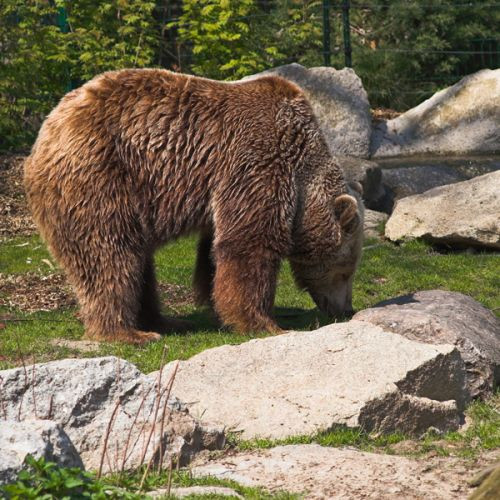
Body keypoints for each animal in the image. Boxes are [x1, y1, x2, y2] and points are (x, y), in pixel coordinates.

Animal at [24, 69, 364, 344]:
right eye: (346, 270)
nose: (345, 309)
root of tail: (46, 132)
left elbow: (215, 253)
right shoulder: (258, 160)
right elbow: (250, 243)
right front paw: (266, 323)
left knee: (137, 259)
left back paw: (163, 321)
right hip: (101, 176)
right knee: (109, 252)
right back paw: (128, 333)